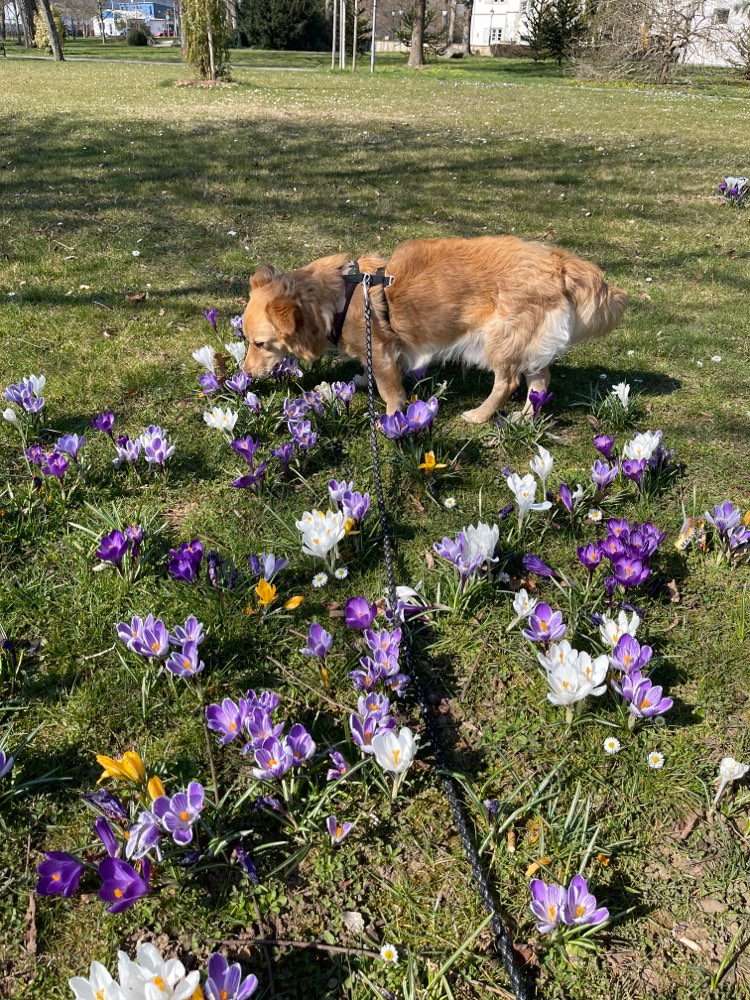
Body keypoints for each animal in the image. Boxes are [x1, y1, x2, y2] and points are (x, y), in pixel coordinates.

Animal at [242, 237, 628, 422]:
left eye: (261, 344)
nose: (245, 374)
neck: (339, 295)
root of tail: (557, 262)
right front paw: (363, 379)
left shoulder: (383, 351)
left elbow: (390, 392)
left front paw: (391, 419)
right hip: (529, 345)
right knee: (540, 381)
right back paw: (525, 416)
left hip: (500, 341)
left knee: (508, 382)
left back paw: (481, 415)